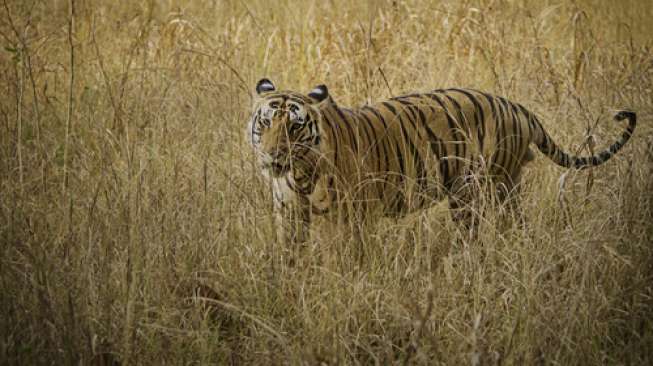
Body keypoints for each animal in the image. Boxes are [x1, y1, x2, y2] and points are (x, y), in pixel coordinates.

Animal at [243, 78, 632, 244]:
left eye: (294, 127)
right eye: (266, 123)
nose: (273, 155)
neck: (299, 173)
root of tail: (516, 107)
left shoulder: (352, 217)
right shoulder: (289, 214)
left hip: (475, 191)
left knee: (478, 233)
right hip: (505, 187)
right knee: (517, 225)